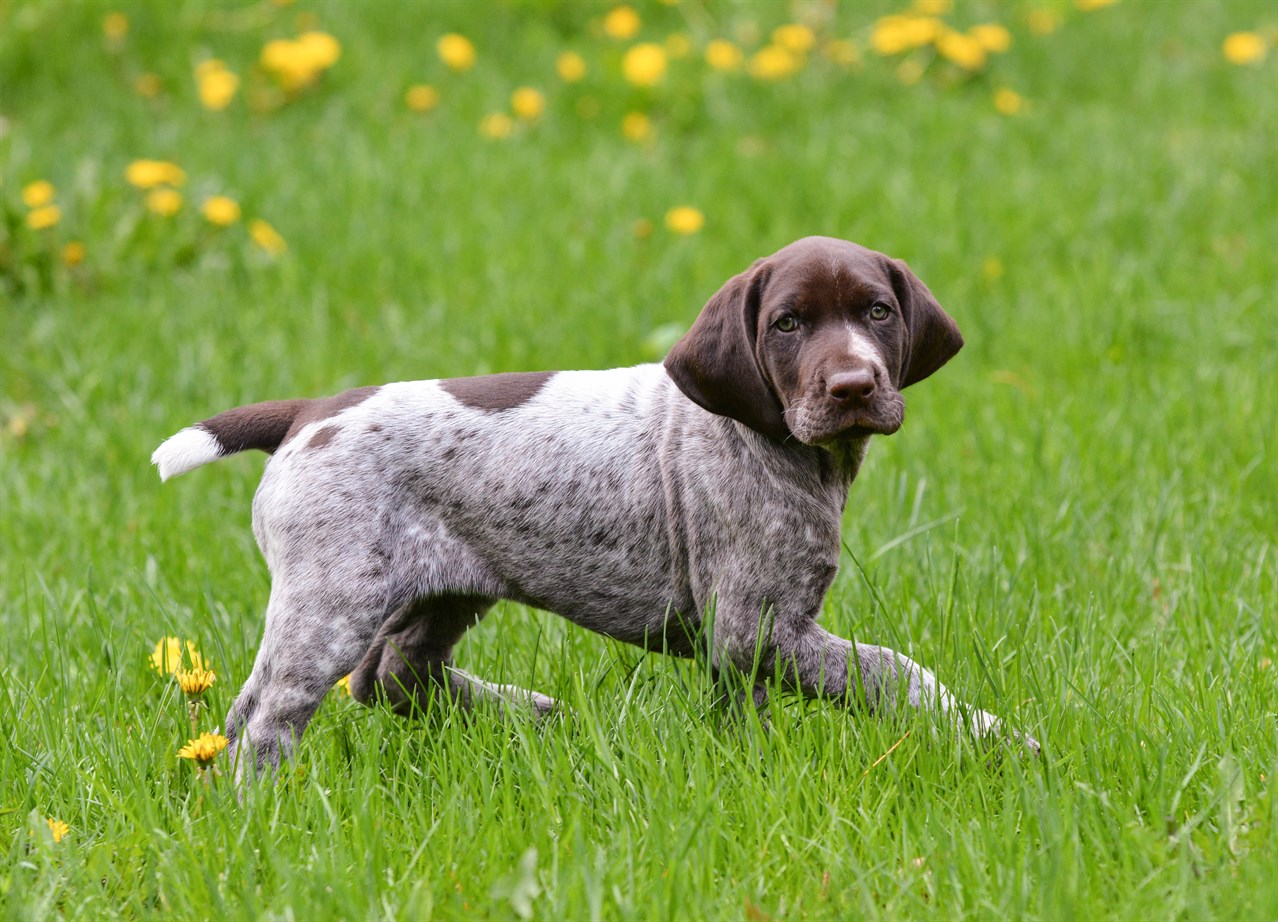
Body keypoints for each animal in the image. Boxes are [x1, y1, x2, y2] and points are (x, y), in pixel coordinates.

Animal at [152, 234, 1037, 772]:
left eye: (877, 312)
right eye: (788, 323)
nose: (854, 385)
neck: (783, 444)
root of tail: (309, 412)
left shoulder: (746, 644)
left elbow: (746, 716)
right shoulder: (759, 629)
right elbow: (895, 670)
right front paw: (994, 734)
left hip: (442, 585)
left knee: (391, 676)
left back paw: (527, 713)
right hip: (331, 601)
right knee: (266, 716)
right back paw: (259, 808)